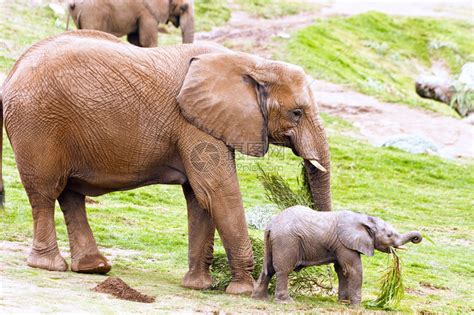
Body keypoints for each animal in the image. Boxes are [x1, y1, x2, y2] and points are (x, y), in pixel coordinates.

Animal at [0, 30, 332, 296]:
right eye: (297, 113)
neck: (254, 63)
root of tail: (12, 72)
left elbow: (200, 198)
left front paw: (198, 286)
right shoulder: (193, 123)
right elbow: (216, 192)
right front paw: (243, 291)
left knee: (71, 195)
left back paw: (94, 268)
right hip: (38, 124)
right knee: (46, 192)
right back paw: (50, 265)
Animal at [252, 207, 422, 306]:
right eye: (389, 235)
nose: (416, 238)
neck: (365, 218)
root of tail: (270, 226)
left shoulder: (340, 245)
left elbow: (341, 270)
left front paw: (343, 302)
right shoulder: (344, 244)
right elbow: (354, 270)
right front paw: (356, 306)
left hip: (274, 243)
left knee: (268, 269)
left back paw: (260, 298)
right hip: (286, 241)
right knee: (283, 270)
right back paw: (286, 302)